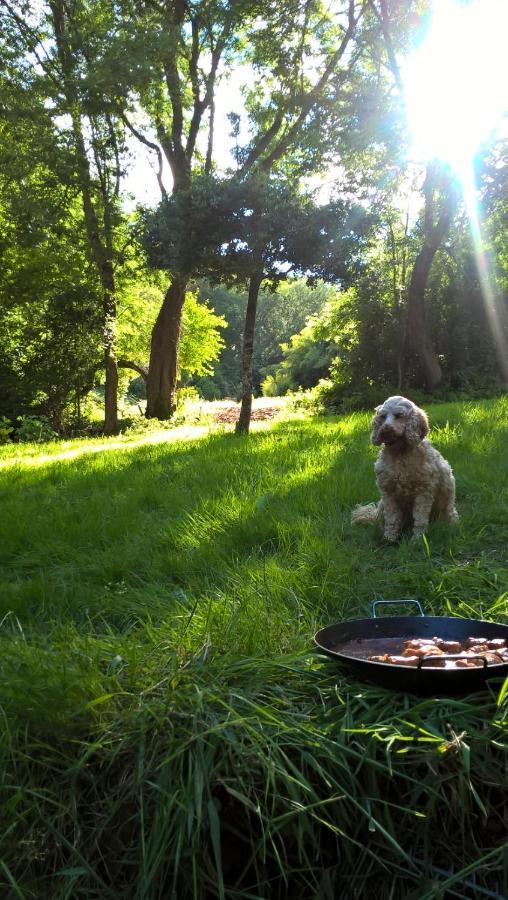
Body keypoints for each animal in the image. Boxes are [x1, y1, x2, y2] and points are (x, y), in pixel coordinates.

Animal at [352, 396, 458, 540]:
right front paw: (389, 538)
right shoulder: (388, 494)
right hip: (382, 506)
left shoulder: (423, 493)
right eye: (382, 417)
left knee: (450, 515)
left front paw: (418, 539)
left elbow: (420, 520)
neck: (400, 454)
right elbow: (392, 519)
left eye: (399, 416)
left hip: (446, 505)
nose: (385, 429)